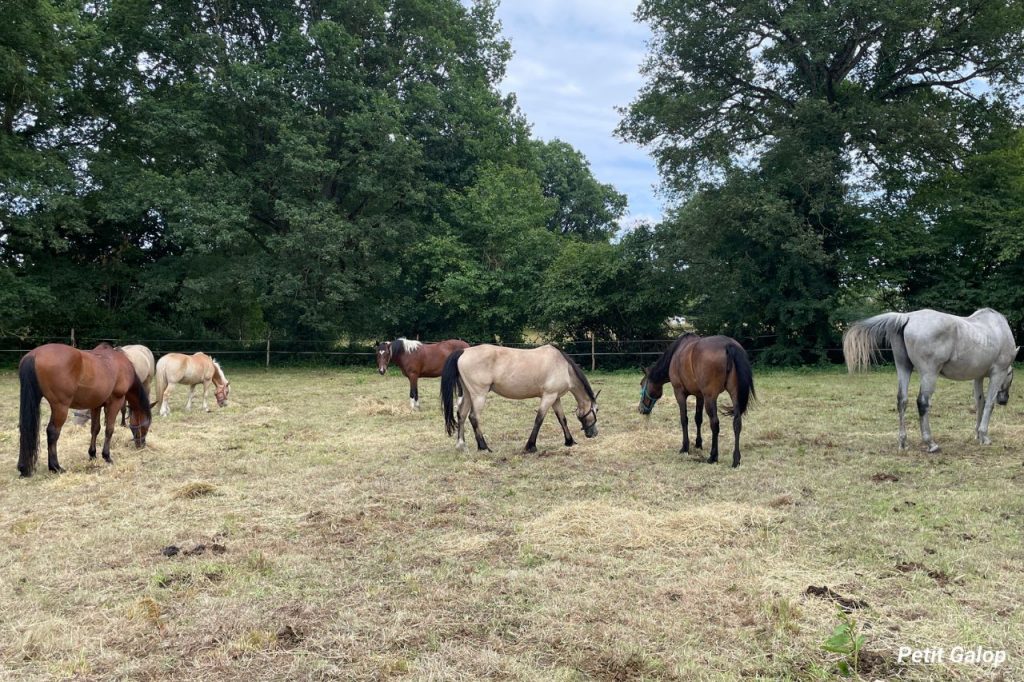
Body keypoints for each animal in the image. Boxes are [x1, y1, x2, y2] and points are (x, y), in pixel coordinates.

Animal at [18, 343, 152, 477]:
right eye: (147, 426)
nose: (142, 444)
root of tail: (34, 354)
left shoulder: (96, 405)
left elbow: (95, 429)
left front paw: (92, 454)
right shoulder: (115, 402)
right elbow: (109, 430)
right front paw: (107, 456)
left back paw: (24, 468)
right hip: (60, 407)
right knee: (52, 432)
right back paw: (55, 466)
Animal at [441, 344, 599, 452]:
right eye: (596, 409)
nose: (594, 433)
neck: (563, 366)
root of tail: (464, 351)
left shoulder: (555, 398)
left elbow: (562, 419)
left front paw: (570, 441)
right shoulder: (548, 396)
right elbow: (539, 420)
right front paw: (531, 446)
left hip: (468, 393)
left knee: (461, 415)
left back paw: (461, 445)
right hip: (479, 395)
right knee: (473, 417)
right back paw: (484, 447)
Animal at [638, 333, 755, 468]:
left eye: (642, 383)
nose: (641, 409)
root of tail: (728, 345)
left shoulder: (680, 393)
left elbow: (684, 419)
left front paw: (685, 447)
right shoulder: (700, 396)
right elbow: (698, 419)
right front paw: (698, 443)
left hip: (711, 397)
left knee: (715, 424)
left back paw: (713, 456)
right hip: (734, 395)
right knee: (737, 423)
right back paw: (736, 459)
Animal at [843, 308, 1018, 452]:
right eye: (1011, 374)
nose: (1004, 400)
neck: (995, 327)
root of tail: (907, 317)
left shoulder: (978, 376)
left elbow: (980, 403)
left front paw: (978, 435)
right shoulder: (997, 373)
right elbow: (989, 404)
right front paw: (984, 436)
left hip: (904, 368)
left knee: (902, 401)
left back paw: (903, 442)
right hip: (929, 374)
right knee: (922, 402)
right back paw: (930, 443)